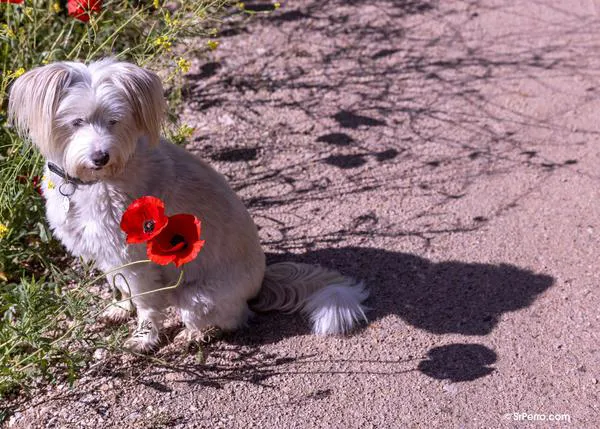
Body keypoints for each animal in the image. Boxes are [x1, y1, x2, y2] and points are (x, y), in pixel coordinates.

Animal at [8, 57, 366, 352]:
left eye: (115, 121)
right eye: (76, 122)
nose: (100, 156)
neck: (96, 181)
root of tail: (262, 281)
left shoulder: (135, 259)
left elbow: (145, 303)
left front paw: (144, 338)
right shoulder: (107, 254)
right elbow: (120, 287)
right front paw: (120, 310)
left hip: (194, 296)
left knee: (230, 319)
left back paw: (193, 335)